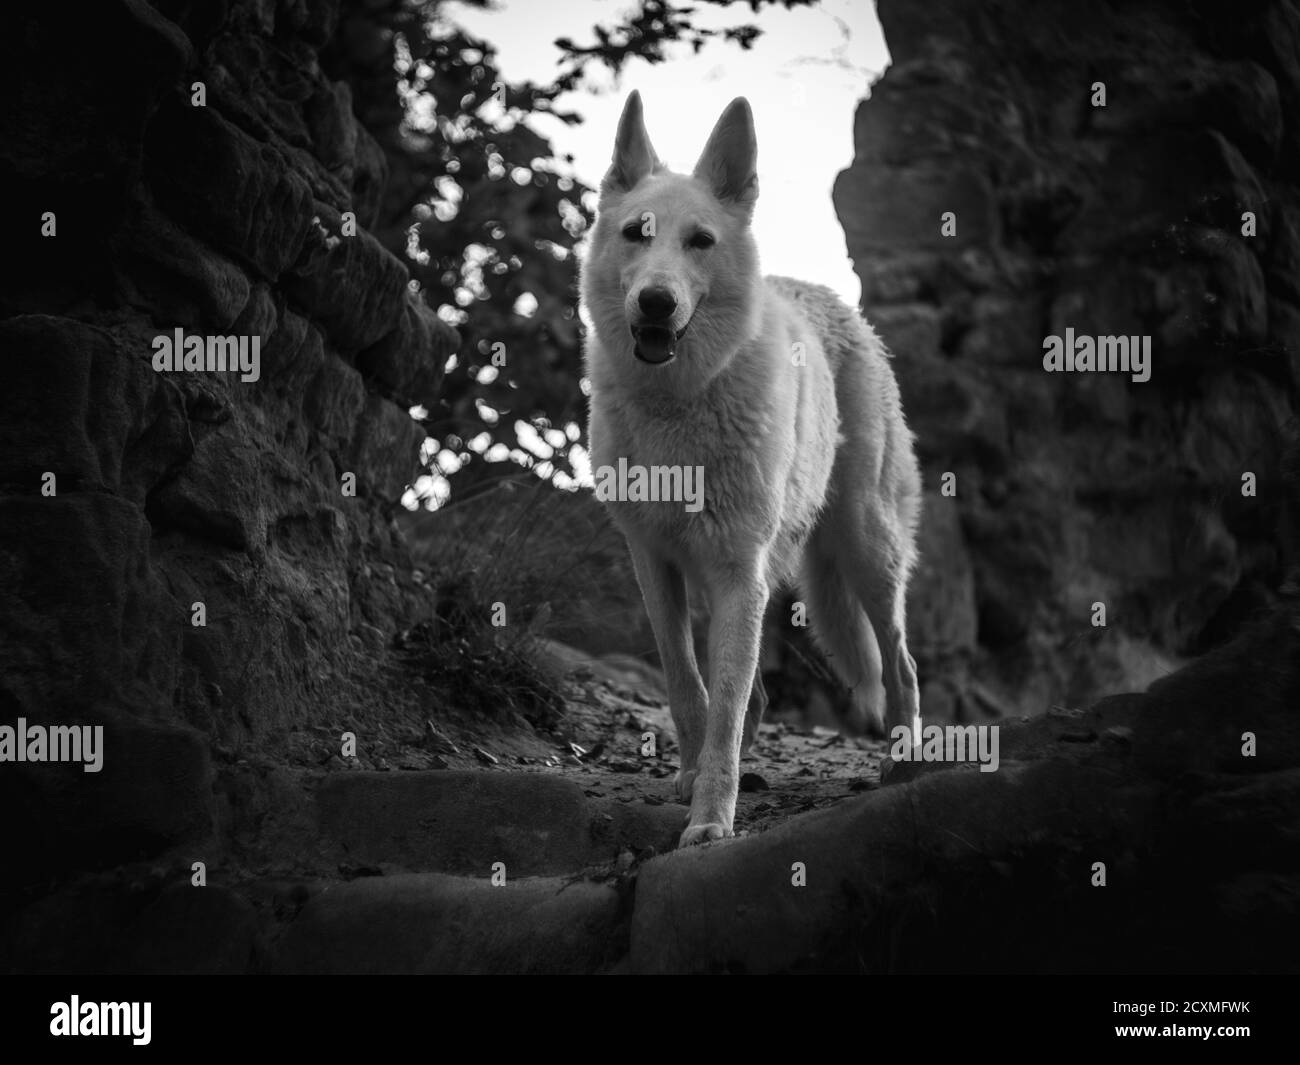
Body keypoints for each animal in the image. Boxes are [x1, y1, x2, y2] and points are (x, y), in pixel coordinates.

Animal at [581, 91, 923, 847]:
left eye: (700, 242)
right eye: (637, 234)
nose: (656, 302)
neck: (679, 404)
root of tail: (820, 292)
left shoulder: (739, 572)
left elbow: (727, 700)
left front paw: (711, 822)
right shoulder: (654, 561)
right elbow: (690, 688)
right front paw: (694, 781)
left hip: (865, 548)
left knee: (901, 661)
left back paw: (907, 759)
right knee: (760, 693)